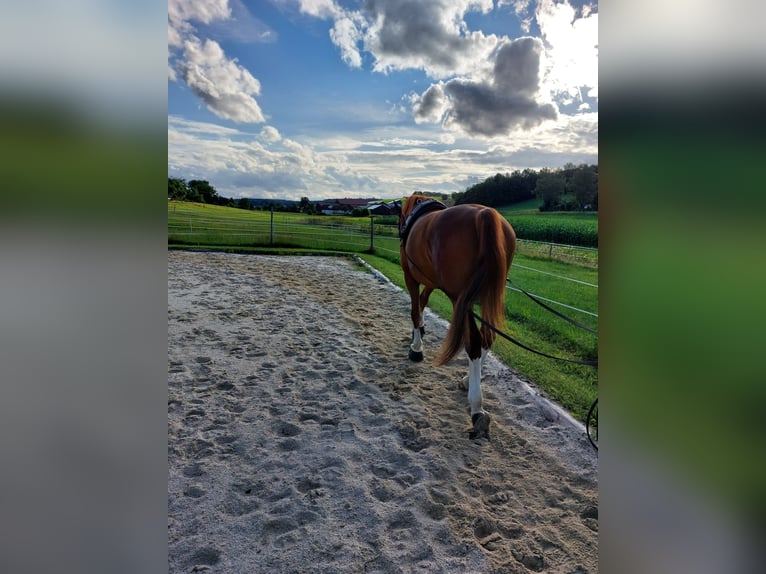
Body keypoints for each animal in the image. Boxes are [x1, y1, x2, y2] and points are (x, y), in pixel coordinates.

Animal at [400, 195, 520, 440]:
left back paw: (477, 407)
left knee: (473, 341)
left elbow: (415, 309)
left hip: (461, 301)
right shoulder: (431, 281)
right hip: (486, 297)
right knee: (487, 338)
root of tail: (485, 214)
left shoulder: (411, 277)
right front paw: (421, 332)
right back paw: (468, 382)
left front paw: (416, 347)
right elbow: (423, 302)